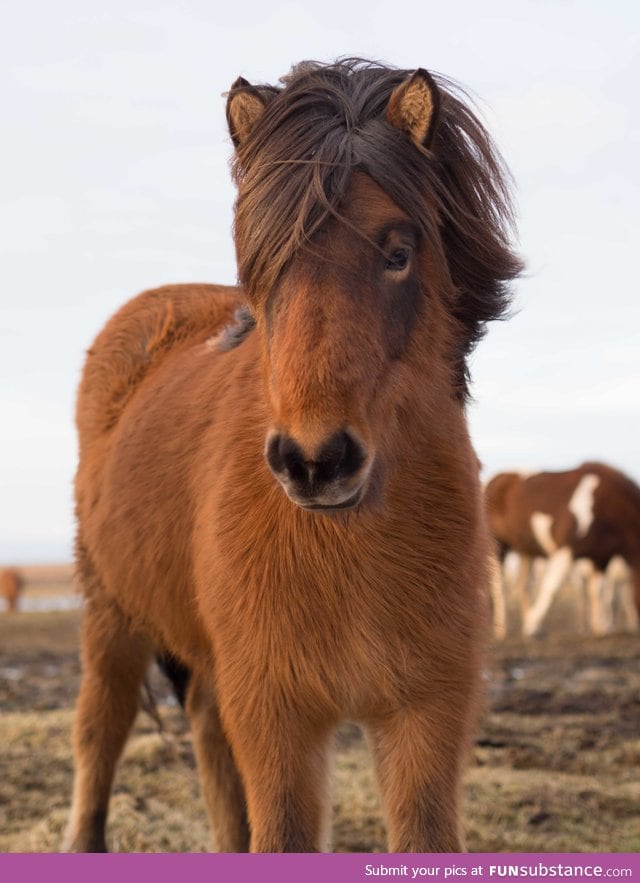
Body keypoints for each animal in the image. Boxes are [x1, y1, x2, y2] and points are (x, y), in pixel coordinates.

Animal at [63, 58, 520, 852]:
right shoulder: (276, 718)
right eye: (265, 266)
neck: (348, 552)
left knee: (208, 740)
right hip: (111, 614)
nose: (315, 461)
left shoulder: (426, 717)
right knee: (100, 732)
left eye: (398, 253)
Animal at [484, 462, 640, 636]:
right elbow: (551, 589)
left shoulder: (600, 559)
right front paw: (532, 622)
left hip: (526, 551)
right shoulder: (566, 550)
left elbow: (597, 591)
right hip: (498, 546)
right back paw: (502, 629)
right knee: (499, 586)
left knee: (524, 586)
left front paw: (600, 628)